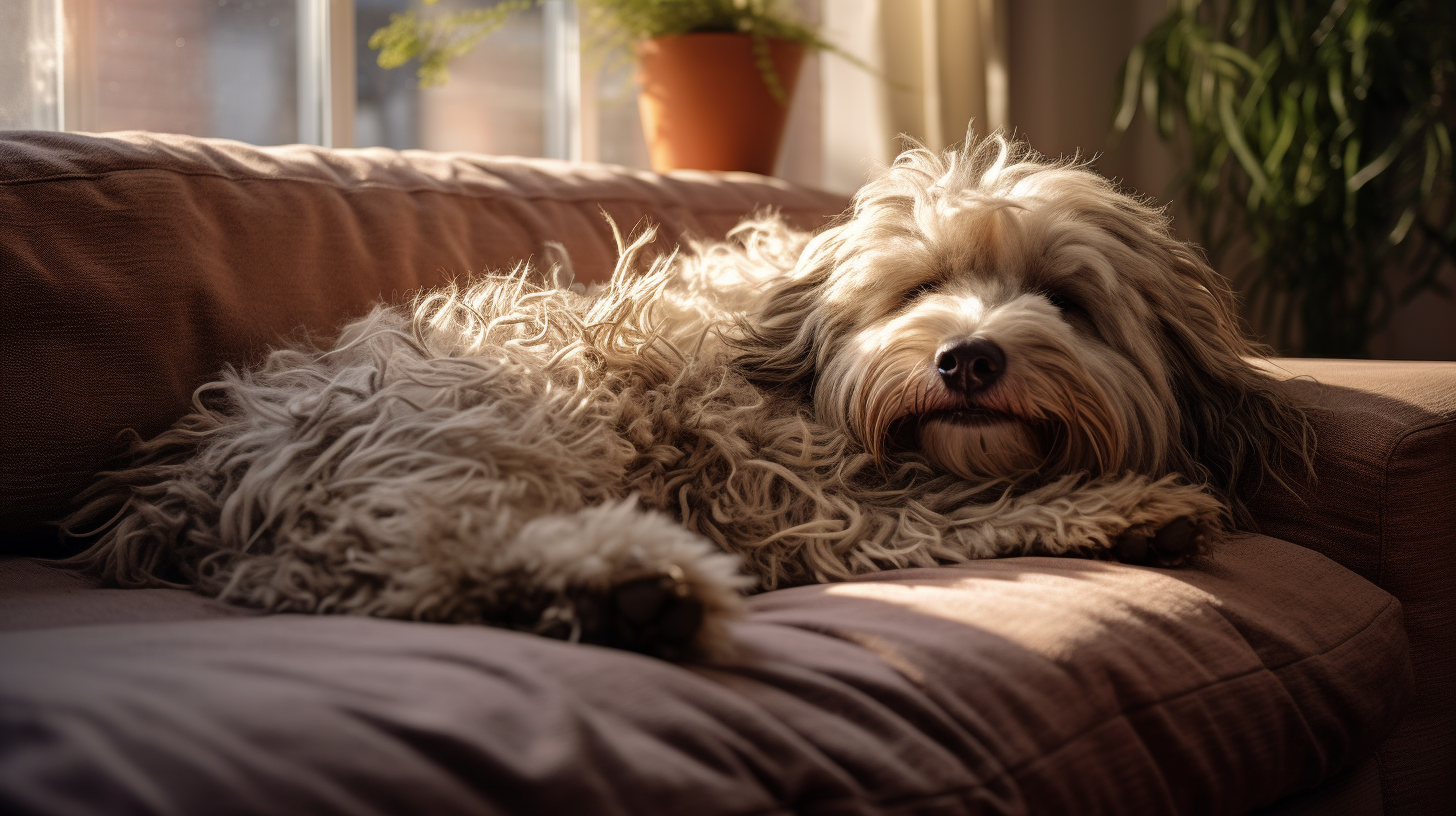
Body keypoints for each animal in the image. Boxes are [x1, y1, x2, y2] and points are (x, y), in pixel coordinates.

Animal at [65, 134, 1310, 655]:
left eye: (1063, 297)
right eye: (919, 288)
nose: (966, 360)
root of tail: (191, 477)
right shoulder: (801, 494)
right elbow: (949, 509)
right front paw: (1128, 508)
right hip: (485, 425)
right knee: (422, 553)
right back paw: (628, 590)